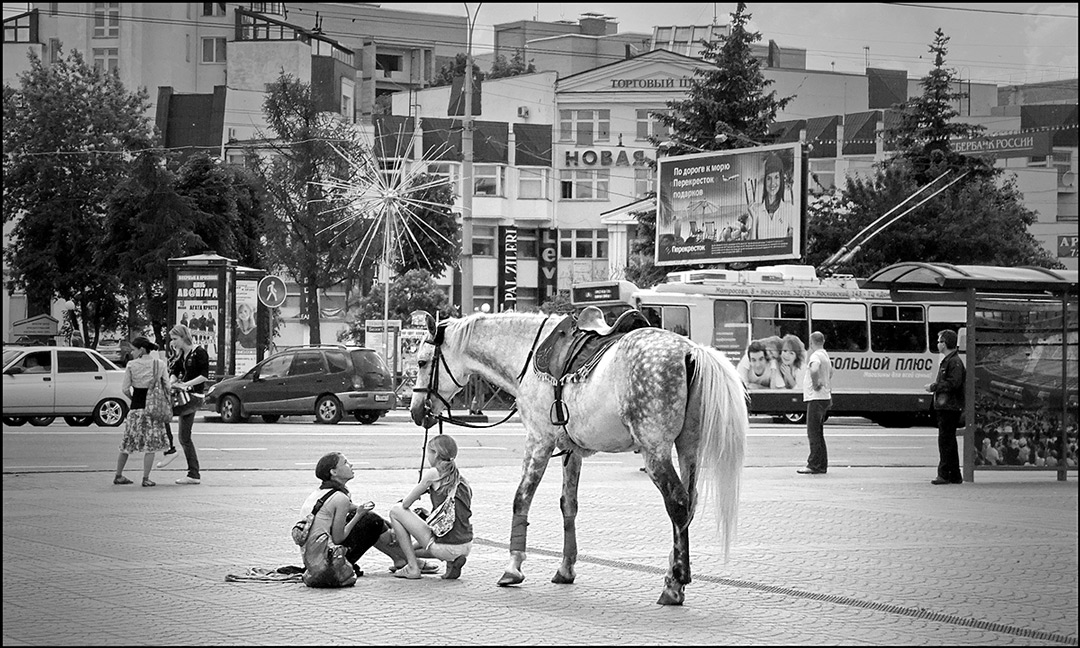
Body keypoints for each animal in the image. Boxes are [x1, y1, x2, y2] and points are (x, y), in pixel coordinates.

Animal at [408, 311, 747, 604]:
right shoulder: (571, 451)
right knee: (689, 503)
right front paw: (565, 568)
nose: (415, 411)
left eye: (422, 362)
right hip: (688, 448)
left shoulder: (539, 441)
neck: (527, 355)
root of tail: (691, 351)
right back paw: (672, 574)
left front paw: (513, 567)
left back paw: (674, 584)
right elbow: (568, 505)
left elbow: (521, 499)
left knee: (676, 502)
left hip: (656, 451)